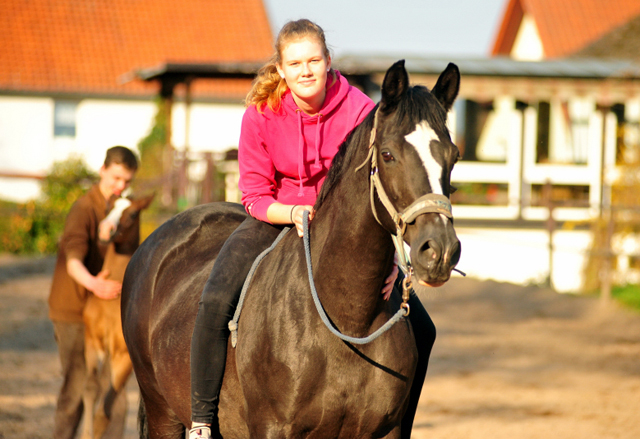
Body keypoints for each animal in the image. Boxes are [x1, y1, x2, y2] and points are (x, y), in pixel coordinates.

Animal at [121, 61, 460, 439]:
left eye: (454, 156)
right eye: (387, 155)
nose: (440, 251)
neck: (347, 322)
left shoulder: (386, 430)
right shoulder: (272, 428)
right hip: (162, 411)